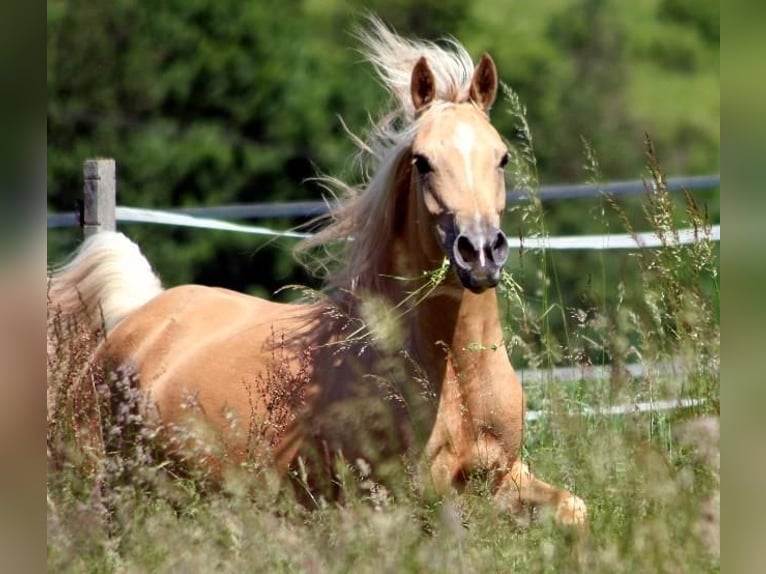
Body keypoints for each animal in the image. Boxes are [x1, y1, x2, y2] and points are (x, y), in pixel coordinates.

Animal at [48, 21, 588, 528]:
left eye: (502, 157)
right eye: (422, 162)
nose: (479, 253)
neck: (455, 379)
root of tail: (139, 318)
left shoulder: (505, 477)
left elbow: (576, 510)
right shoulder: (392, 500)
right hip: (106, 484)